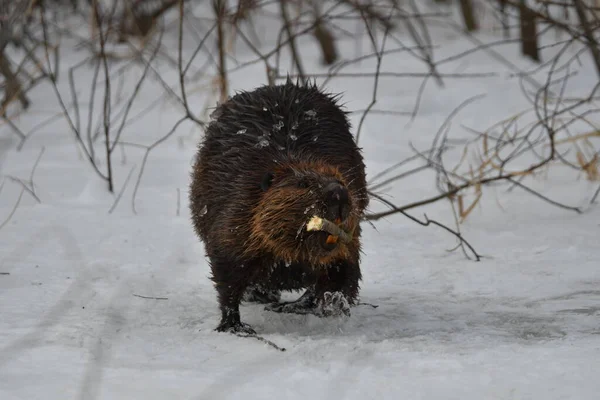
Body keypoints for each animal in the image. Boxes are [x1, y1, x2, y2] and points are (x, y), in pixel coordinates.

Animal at [190, 79, 368, 334]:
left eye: (342, 180)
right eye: (303, 184)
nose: (339, 193)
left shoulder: (350, 244)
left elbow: (343, 270)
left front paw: (334, 303)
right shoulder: (234, 216)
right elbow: (227, 277)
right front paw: (234, 326)